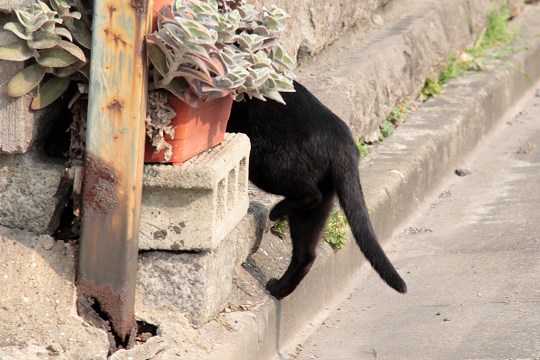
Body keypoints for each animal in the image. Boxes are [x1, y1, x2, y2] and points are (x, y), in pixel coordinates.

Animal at [226, 81, 408, 298]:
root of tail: (343, 140)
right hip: (316, 204)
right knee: (306, 254)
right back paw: (279, 289)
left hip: (263, 161)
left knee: (311, 195)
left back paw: (276, 212)